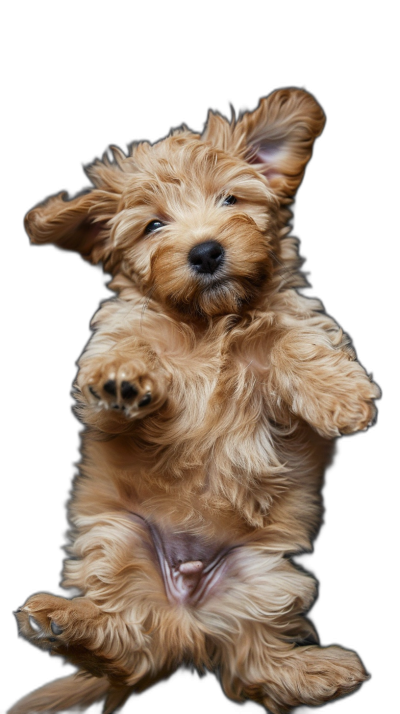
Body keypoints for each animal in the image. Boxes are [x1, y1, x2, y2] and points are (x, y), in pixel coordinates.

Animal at [7, 90, 380, 712]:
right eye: (154, 225)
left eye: (231, 199)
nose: (206, 252)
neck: (207, 321)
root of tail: (182, 619)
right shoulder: (120, 343)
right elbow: (127, 350)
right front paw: (124, 378)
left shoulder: (287, 321)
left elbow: (292, 340)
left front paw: (342, 395)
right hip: (119, 539)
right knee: (126, 639)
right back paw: (66, 621)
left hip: (265, 575)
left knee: (252, 660)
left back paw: (318, 672)